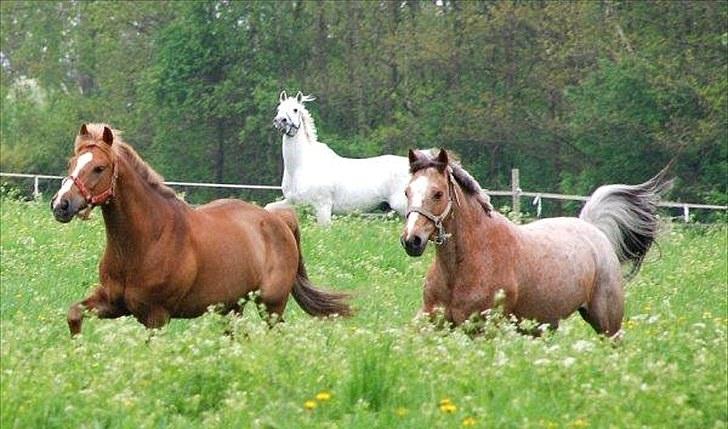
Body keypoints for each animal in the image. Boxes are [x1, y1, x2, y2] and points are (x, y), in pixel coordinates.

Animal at [49, 123, 352, 334]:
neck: (146, 240)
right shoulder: (113, 303)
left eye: (99, 168)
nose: (61, 204)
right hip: (231, 308)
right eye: (71, 163)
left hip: (271, 305)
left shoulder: (156, 316)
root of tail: (280, 221)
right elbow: (74, 314)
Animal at [266, 90, 410, 224]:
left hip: (403, 208)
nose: (280, 121)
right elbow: (268, 208)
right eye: (279, 108)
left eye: (295, 109)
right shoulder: (293, 202)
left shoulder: (322, 208)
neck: (299, 167)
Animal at [400, 149, 668, 336]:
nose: (411, 240)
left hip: (607, 322)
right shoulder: (430, 318)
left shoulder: (483, 328)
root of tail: (593, 229)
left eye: (438, 194)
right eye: (406, 191)